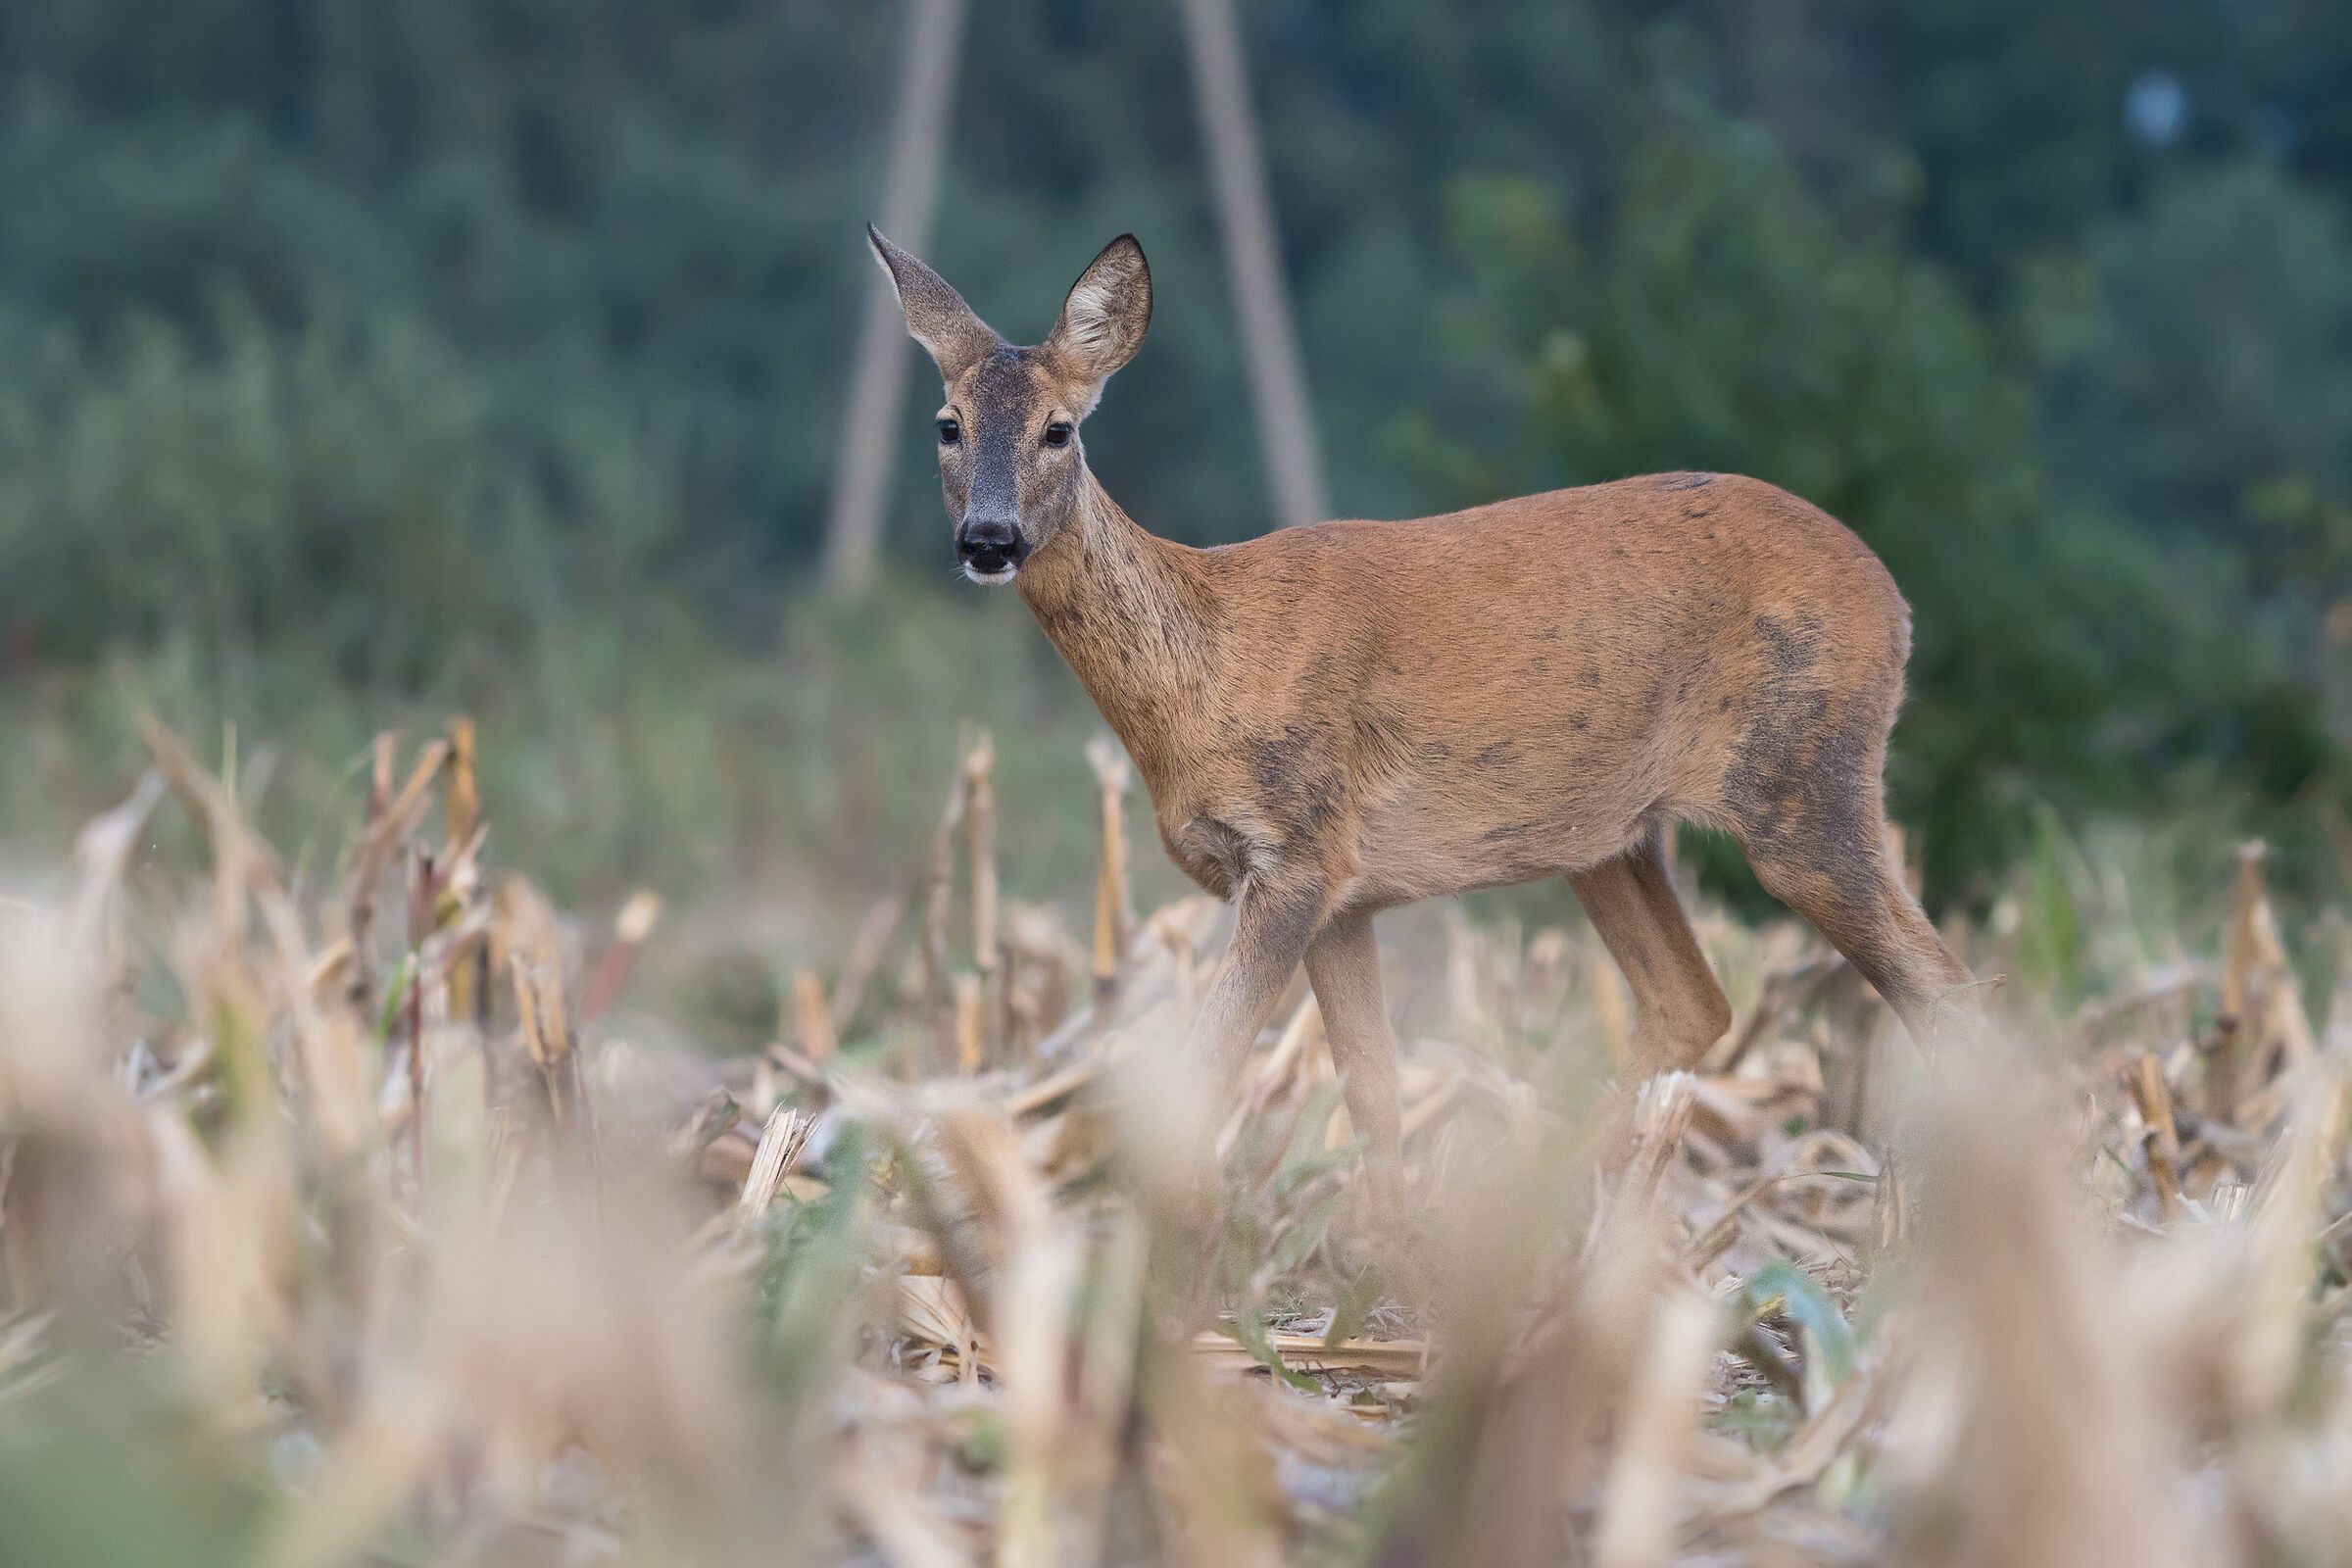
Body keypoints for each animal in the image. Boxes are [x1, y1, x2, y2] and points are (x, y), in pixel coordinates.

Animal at [867, 226, 1978, 1207]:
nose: (989, 539)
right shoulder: (1345, 896)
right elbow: (1373, 1094)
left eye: (1060, 428)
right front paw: (1382, 1261)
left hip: (1805, 781)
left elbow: (1209, 1069)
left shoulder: (1299, 851)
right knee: (1694, 1000)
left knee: (1947, 990)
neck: (1201, 675)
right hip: (1611, 836)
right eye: (947, 424)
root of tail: (1896, 601)